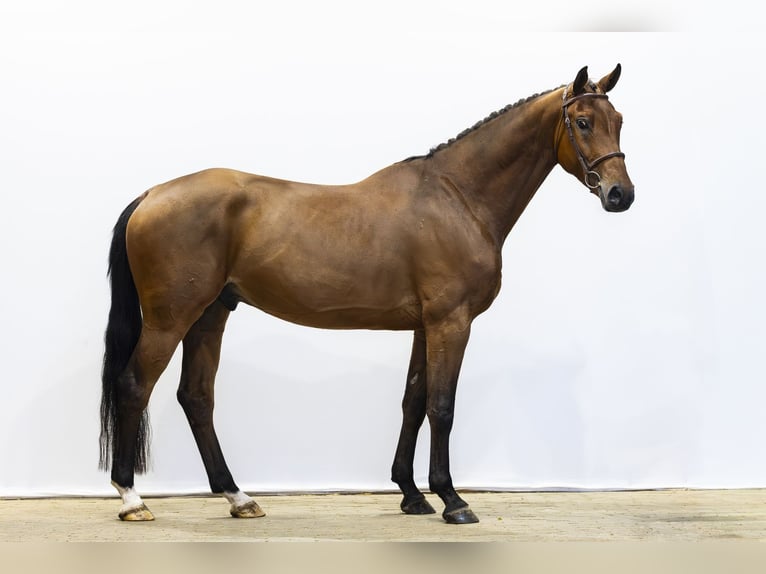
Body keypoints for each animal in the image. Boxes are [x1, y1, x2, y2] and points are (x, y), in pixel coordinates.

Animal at [100, 65, 634, 524]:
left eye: (620, 121)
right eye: (582, 121)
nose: (620, 195)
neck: (458, 198)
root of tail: (151, 195)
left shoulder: (425, 326)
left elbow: (413, 402)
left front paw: (412, 495)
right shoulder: (451, 321)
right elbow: (442, 406)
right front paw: (452, 499)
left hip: (211, 314)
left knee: (196, 397)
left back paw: (239, 497)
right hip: (171, 318)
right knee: (134, 386)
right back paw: (132, 499)